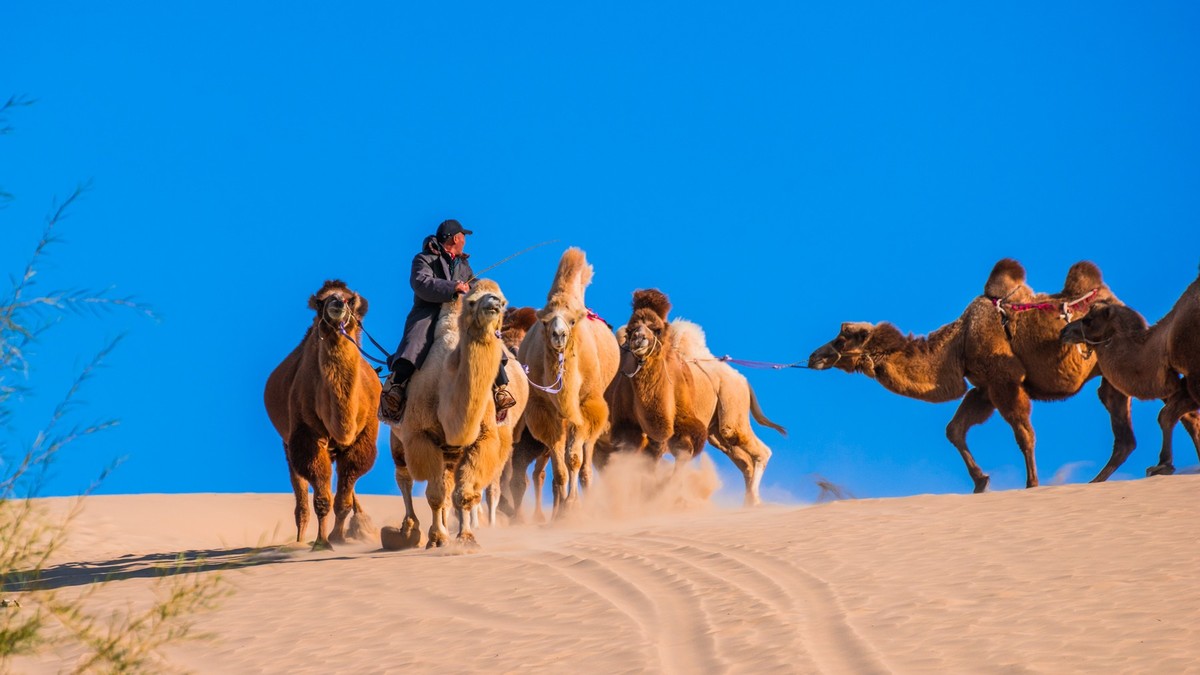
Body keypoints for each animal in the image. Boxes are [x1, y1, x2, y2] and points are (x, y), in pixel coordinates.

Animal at [266, 278, 379, 547]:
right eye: (320, 301)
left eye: (350, 299)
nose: (336, 303)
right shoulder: (307, 436)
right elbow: (323, 499)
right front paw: (322, 543)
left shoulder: (361, 440)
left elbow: (343, 501)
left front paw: (338, 538)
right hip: (289, 442)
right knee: (301, 498)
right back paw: (300, 540)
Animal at [381, 278, 528, 547]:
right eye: (471, 300)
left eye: (502, 300)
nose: (493, 303)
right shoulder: (422, 438)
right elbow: (435, 495)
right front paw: (438, 539)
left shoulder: (482, 438)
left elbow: (465, 494)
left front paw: (466, 538)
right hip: (398, 436)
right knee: (404, 477)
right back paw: (409, 529)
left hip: (452, 452)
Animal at [518, 247, 619, 514]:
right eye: (545, 321)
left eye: (572, 320)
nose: (559, 334)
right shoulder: (544, 411)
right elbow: (559, 467)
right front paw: (561, 510)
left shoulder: (586, 404)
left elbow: (574, 458)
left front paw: (572, 505)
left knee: (586, 454)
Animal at [806, 260, 1132, 492]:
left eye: (841, 339)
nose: (813, 357)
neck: (958, 343)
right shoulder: (984, 388)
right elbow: (955, 429)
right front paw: (980, 483)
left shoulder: (1004, 381)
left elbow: (1024, 434)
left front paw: (1031, 485)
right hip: (1112, 375)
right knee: (1122, 428)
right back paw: (1099, 480)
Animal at [1060, 265, 1200, 475]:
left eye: (1088, 320)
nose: (1064, 331)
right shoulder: (1190, 379)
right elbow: (1166, 415)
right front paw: (1162, 465)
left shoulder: (1195, 376)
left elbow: (1168, 414)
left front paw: (1162, 465)